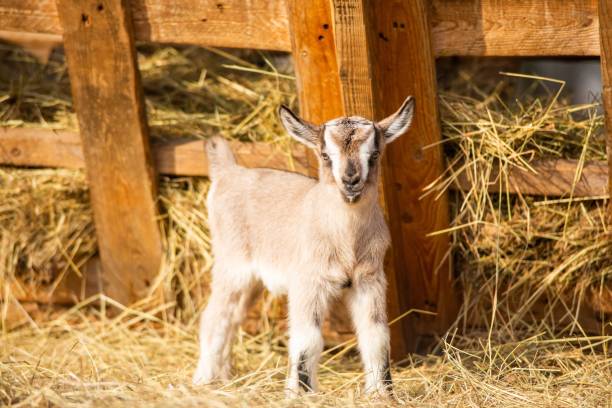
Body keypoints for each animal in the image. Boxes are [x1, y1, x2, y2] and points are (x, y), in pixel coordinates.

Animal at [195, 96, 416, 396]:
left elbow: (376, 335)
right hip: (231, 262)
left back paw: (225, 377)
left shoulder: (369, 279)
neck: (345, 240)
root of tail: (229, 172)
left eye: (374, 154)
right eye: (325, 155)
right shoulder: (308, 281)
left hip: (252, 280)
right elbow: (307, 339)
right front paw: (300, 393)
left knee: (233, 317)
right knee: (214, 318)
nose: (350, 181)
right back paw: (203, 382)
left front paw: (381, 393)